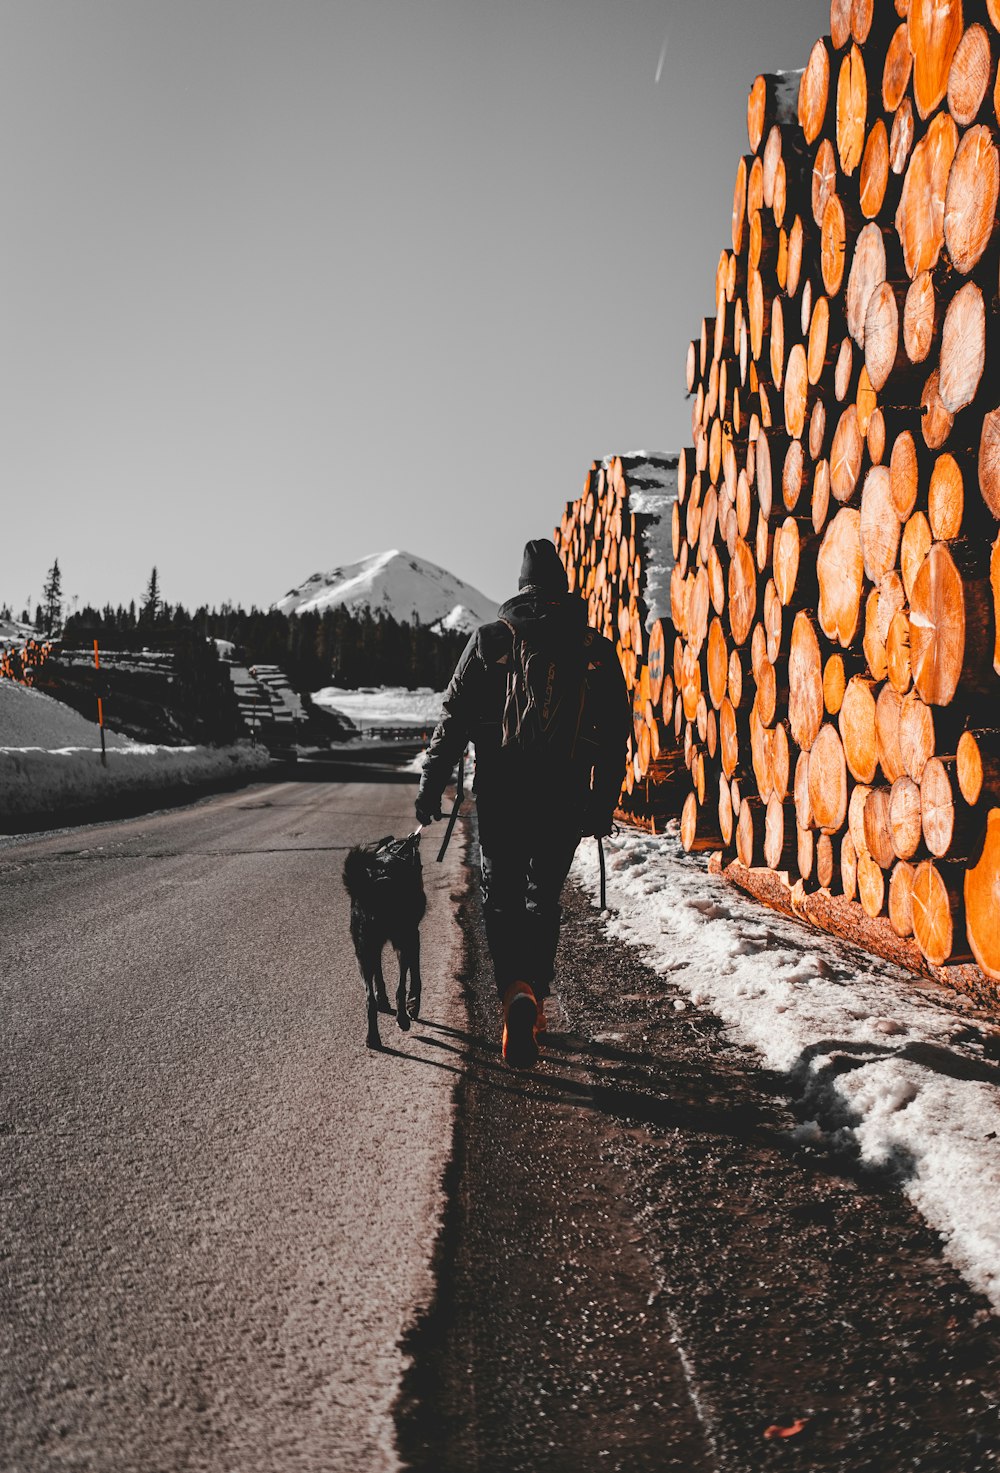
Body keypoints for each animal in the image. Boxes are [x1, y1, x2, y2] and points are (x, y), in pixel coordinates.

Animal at [344, 836, 427, 1054]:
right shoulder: (413, 936)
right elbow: (415, 976)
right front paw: (413, 1005)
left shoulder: (375, 947)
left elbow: (379, 975)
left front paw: (382, 998)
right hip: (401, 941)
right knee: (400, 986)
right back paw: (403, 1019)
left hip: (362, 950)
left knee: (368, 1000)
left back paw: (372, 1038)